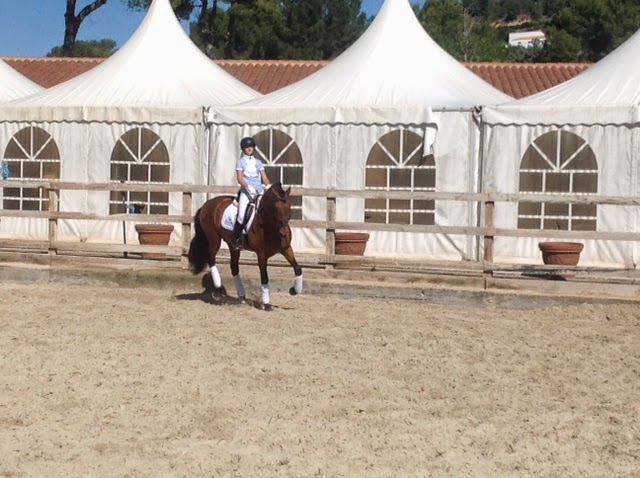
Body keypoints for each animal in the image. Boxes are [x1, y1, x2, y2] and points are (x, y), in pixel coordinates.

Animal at [188, 182, 303, 310]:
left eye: (289, 206)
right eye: (275, 208)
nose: (284, 233)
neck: (269, 226)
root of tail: (206, 205)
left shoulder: (286, 249)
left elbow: (298, 268)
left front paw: (294, 290)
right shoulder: (261, 254)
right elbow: (264, 277)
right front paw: (267, 304)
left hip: (232, 245)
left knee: (234, 267)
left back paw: (242, 296)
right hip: (214, 239)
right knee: (211, 258)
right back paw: (219, 290)